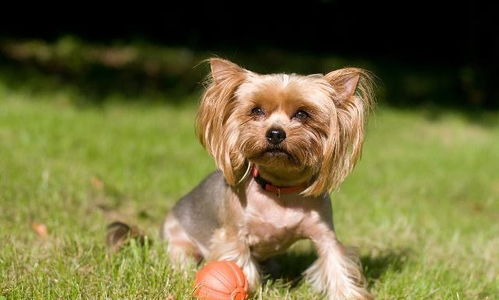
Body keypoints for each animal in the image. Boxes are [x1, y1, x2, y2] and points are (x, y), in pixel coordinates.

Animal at [160, 57, 376, 298]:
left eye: (302, 114)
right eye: (256, 110)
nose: (275, 133)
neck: (279, 187)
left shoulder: (324, 234)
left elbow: (335, 263)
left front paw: (347, 293)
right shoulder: (234, 235)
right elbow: (241, 262)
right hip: (179, 240)